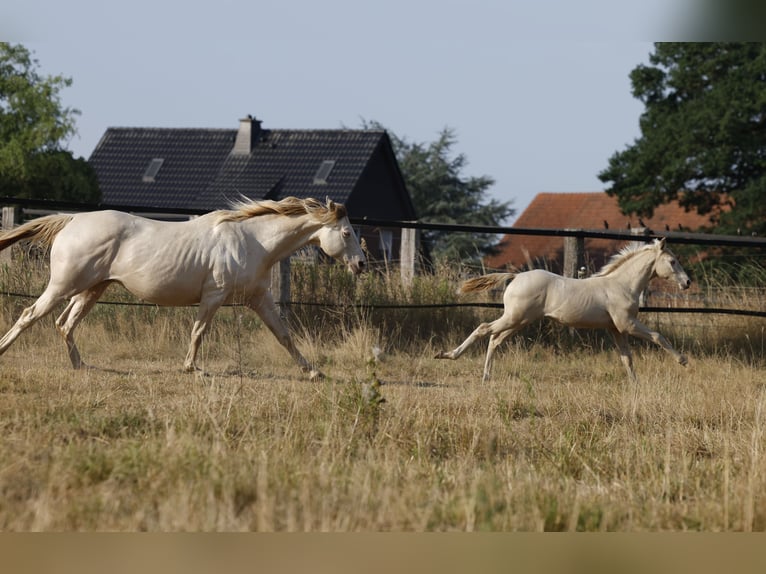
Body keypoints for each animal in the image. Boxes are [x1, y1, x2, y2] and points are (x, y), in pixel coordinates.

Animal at [0, 196, 366, 379]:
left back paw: (81, 366)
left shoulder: (259, 299)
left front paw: (313, 371)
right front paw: (193, 368)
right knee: (30, 314)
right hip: (65, 285)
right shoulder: (215, 295)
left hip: (92, 289)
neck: (252, 241)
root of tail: (72, 220)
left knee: (65, 323)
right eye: (346, 232)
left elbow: (284, 335)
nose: (361, 264)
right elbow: (198, 331)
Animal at [435, 238, 691, 382]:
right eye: (673, 261)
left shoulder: (615, 329)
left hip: (519, 321)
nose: (687, 282)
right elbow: (658, 336)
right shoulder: (626, 324)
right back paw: (448, 355)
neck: (621, 285)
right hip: (514, 317)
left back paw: (486, 376)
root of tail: (516, 277)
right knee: (484, 329)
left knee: (495, 339)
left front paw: (635, 385)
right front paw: (683, 360)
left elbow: (626, 358)